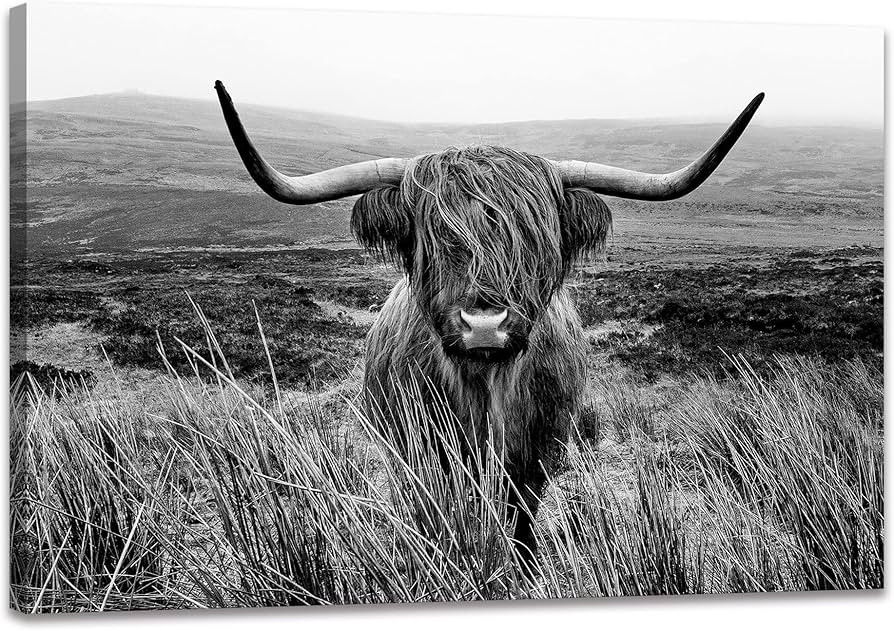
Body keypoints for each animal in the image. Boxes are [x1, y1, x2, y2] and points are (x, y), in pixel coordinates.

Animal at [213, 80, 763, 565]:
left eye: (535, 238)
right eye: (432, 237)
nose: (483, 324)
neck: (484, 388)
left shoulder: (537, 454)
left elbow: (521, 518)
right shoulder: (422, 455)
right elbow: (437, 515)